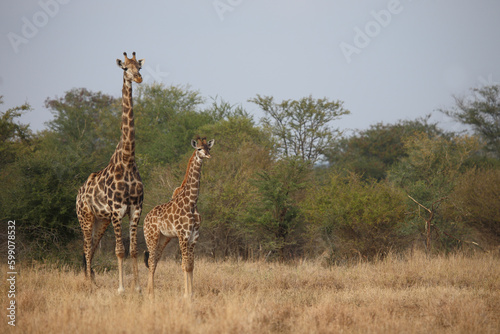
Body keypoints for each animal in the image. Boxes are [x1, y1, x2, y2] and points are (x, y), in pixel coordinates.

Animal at [75, 51, 145, 292]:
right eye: (125, 68)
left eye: (139, 66)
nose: (138, 78)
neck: (127, 160)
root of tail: (78, 194)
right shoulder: (116, 211)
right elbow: (120, 251)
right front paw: (121, 289)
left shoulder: (135, 209)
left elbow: (133, 250)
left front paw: (138, 288)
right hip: (85, 217)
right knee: (87, 247)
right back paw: (88, 283)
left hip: (100, 220)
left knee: (91, 248)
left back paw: (92, 280)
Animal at [144, 137, 216, 298]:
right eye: (199, 149)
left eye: (208, 148)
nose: (208, 156)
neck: (192, 202)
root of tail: (145, 218)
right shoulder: (183, 234)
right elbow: (185, 265)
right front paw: (186, 295)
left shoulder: (194, 236)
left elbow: (191, 265)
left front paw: (192, 293)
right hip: (151, 236)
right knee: (150, 261)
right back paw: (150, 294)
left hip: (164, 238)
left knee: (155, 261)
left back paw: (151, 292)